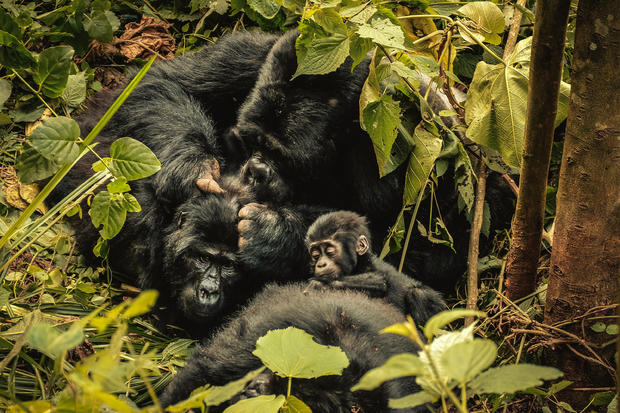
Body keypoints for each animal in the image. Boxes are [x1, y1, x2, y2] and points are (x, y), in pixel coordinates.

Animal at [306, 211, 446, 326]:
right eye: (316, 255)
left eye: (329, 251)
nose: (320, 264)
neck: (360, 263)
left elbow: (378, 282)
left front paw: (318, 285)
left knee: (419, 293)